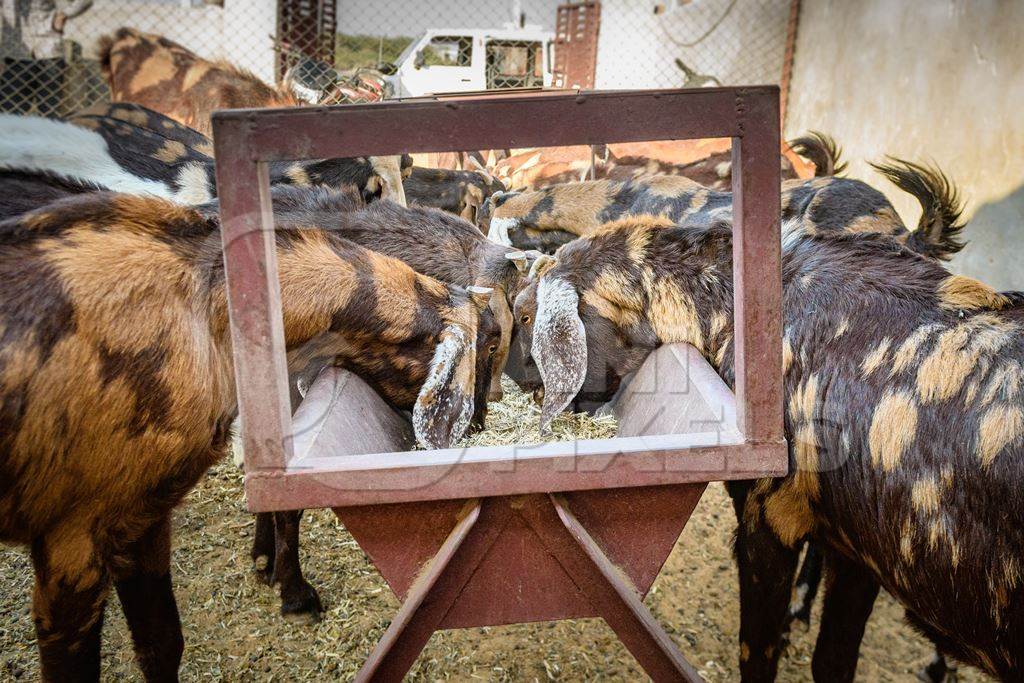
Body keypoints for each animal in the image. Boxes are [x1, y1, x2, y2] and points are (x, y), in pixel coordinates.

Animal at [0, 191, 495, 679]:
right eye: (488, 346)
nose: (478, 424)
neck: (204, 307)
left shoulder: (141, 516)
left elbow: (162, 643)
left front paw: (266, 564)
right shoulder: (74, 541)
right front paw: (294, 593)